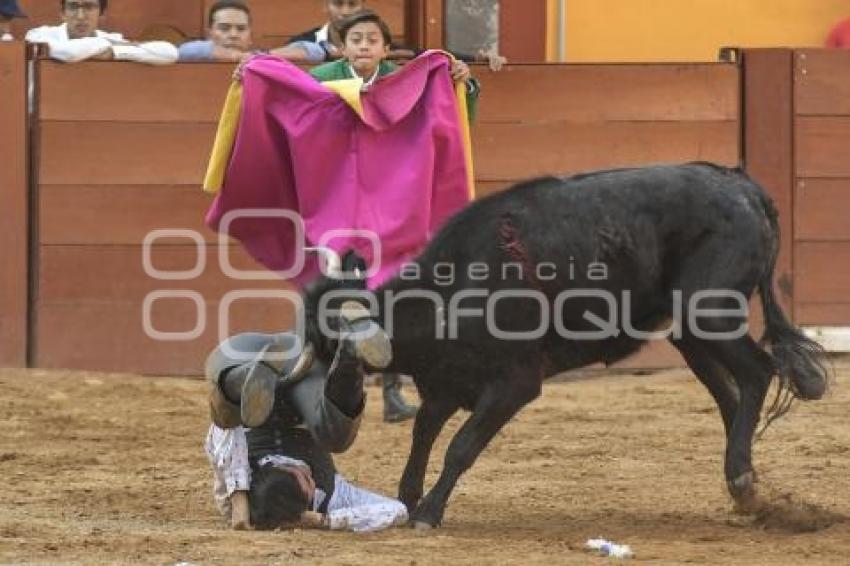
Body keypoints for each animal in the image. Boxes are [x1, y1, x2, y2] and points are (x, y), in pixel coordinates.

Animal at [302, 162, 824, 532]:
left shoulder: (514, 385)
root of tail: (743, 186)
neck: (455, 291)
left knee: (757, 372)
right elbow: (424, 433)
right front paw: (408, 498)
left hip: (709, 312)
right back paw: (746, 488)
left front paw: (429, 511)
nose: (330, 412)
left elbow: (460, 446)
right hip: (690, 330)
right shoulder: (447, 384)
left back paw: (741, 477)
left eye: (330, 346)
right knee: (731, 396)